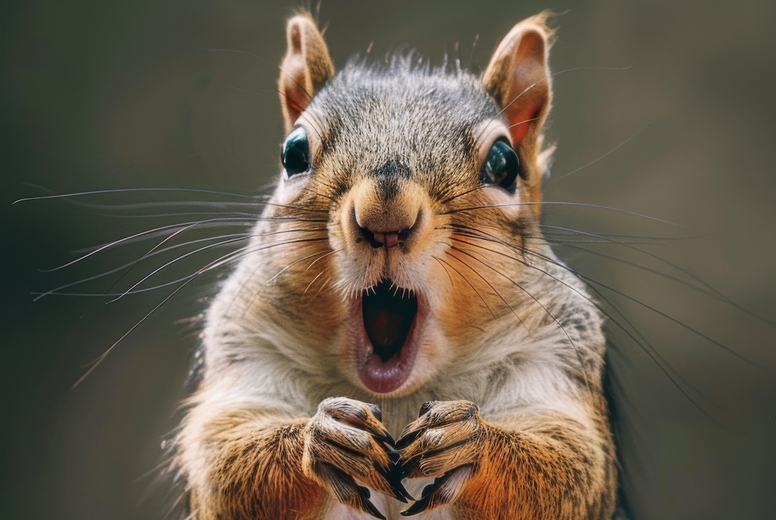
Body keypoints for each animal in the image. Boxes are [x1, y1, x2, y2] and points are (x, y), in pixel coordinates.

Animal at [173, 11, 620, 520]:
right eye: (293, 153)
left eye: (504, 163)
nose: (384, 218)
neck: (398, 397)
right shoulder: (248, 353)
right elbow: (224, 461)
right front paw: (323, 436)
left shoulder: (555, 358)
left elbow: (569, 466)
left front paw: (471, 438)